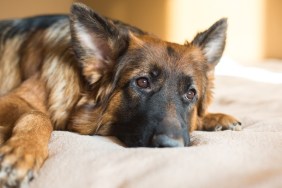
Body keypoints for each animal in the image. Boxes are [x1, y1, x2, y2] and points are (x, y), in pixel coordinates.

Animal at [0, 2, 241, 188]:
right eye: (142, 82)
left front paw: (216, 117)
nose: (171, 147)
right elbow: (38, 115)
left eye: (190, 94)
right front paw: (23, 153)